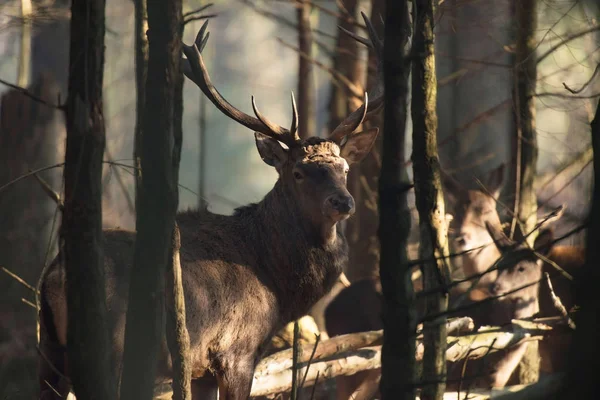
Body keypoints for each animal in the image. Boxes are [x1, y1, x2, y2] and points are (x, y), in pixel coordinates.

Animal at [39, 21, 382, 400]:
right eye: (298, 172)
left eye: (345, 168)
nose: (343, 202)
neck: (276, 282)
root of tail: (53, 276)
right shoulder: (236, 352)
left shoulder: (200, 368)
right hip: (111, 351)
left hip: (49, 352)